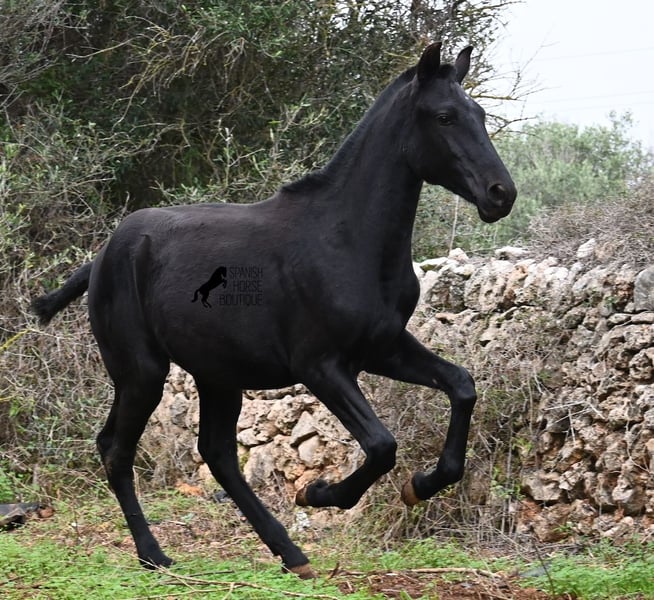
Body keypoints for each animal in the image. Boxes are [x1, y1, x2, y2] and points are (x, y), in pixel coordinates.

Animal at [31, 43, 516, 578]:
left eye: (480, 114)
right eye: (444, 116)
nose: (501, 194)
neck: (347, 240)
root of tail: (102, 256)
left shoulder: (382, 349)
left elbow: (462, 386)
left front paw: (420, 486)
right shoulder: (320, 366)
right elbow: (381, 445)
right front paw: (320, 493)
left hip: (216, 375)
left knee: (214, 454)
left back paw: (291, 554)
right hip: (143, 372)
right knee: (118, 450)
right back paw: (155, 555)